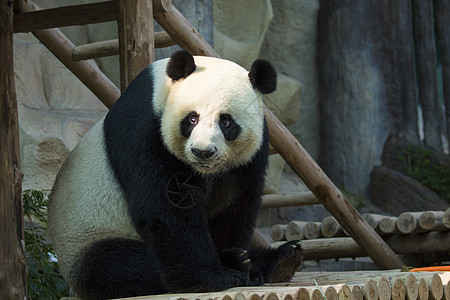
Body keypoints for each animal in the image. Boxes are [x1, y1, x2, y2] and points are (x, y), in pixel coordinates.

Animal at [48, 50, 302, 298]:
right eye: (192, 118)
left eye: (226, 121)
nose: (203, 152)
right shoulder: (147, 125)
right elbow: (166, 206)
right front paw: (216, 276)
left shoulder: (249, 155)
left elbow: (234, 202)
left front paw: (244, 262)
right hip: (86, 234)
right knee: (116, 265)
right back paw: (235, 261)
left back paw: (279, 259)